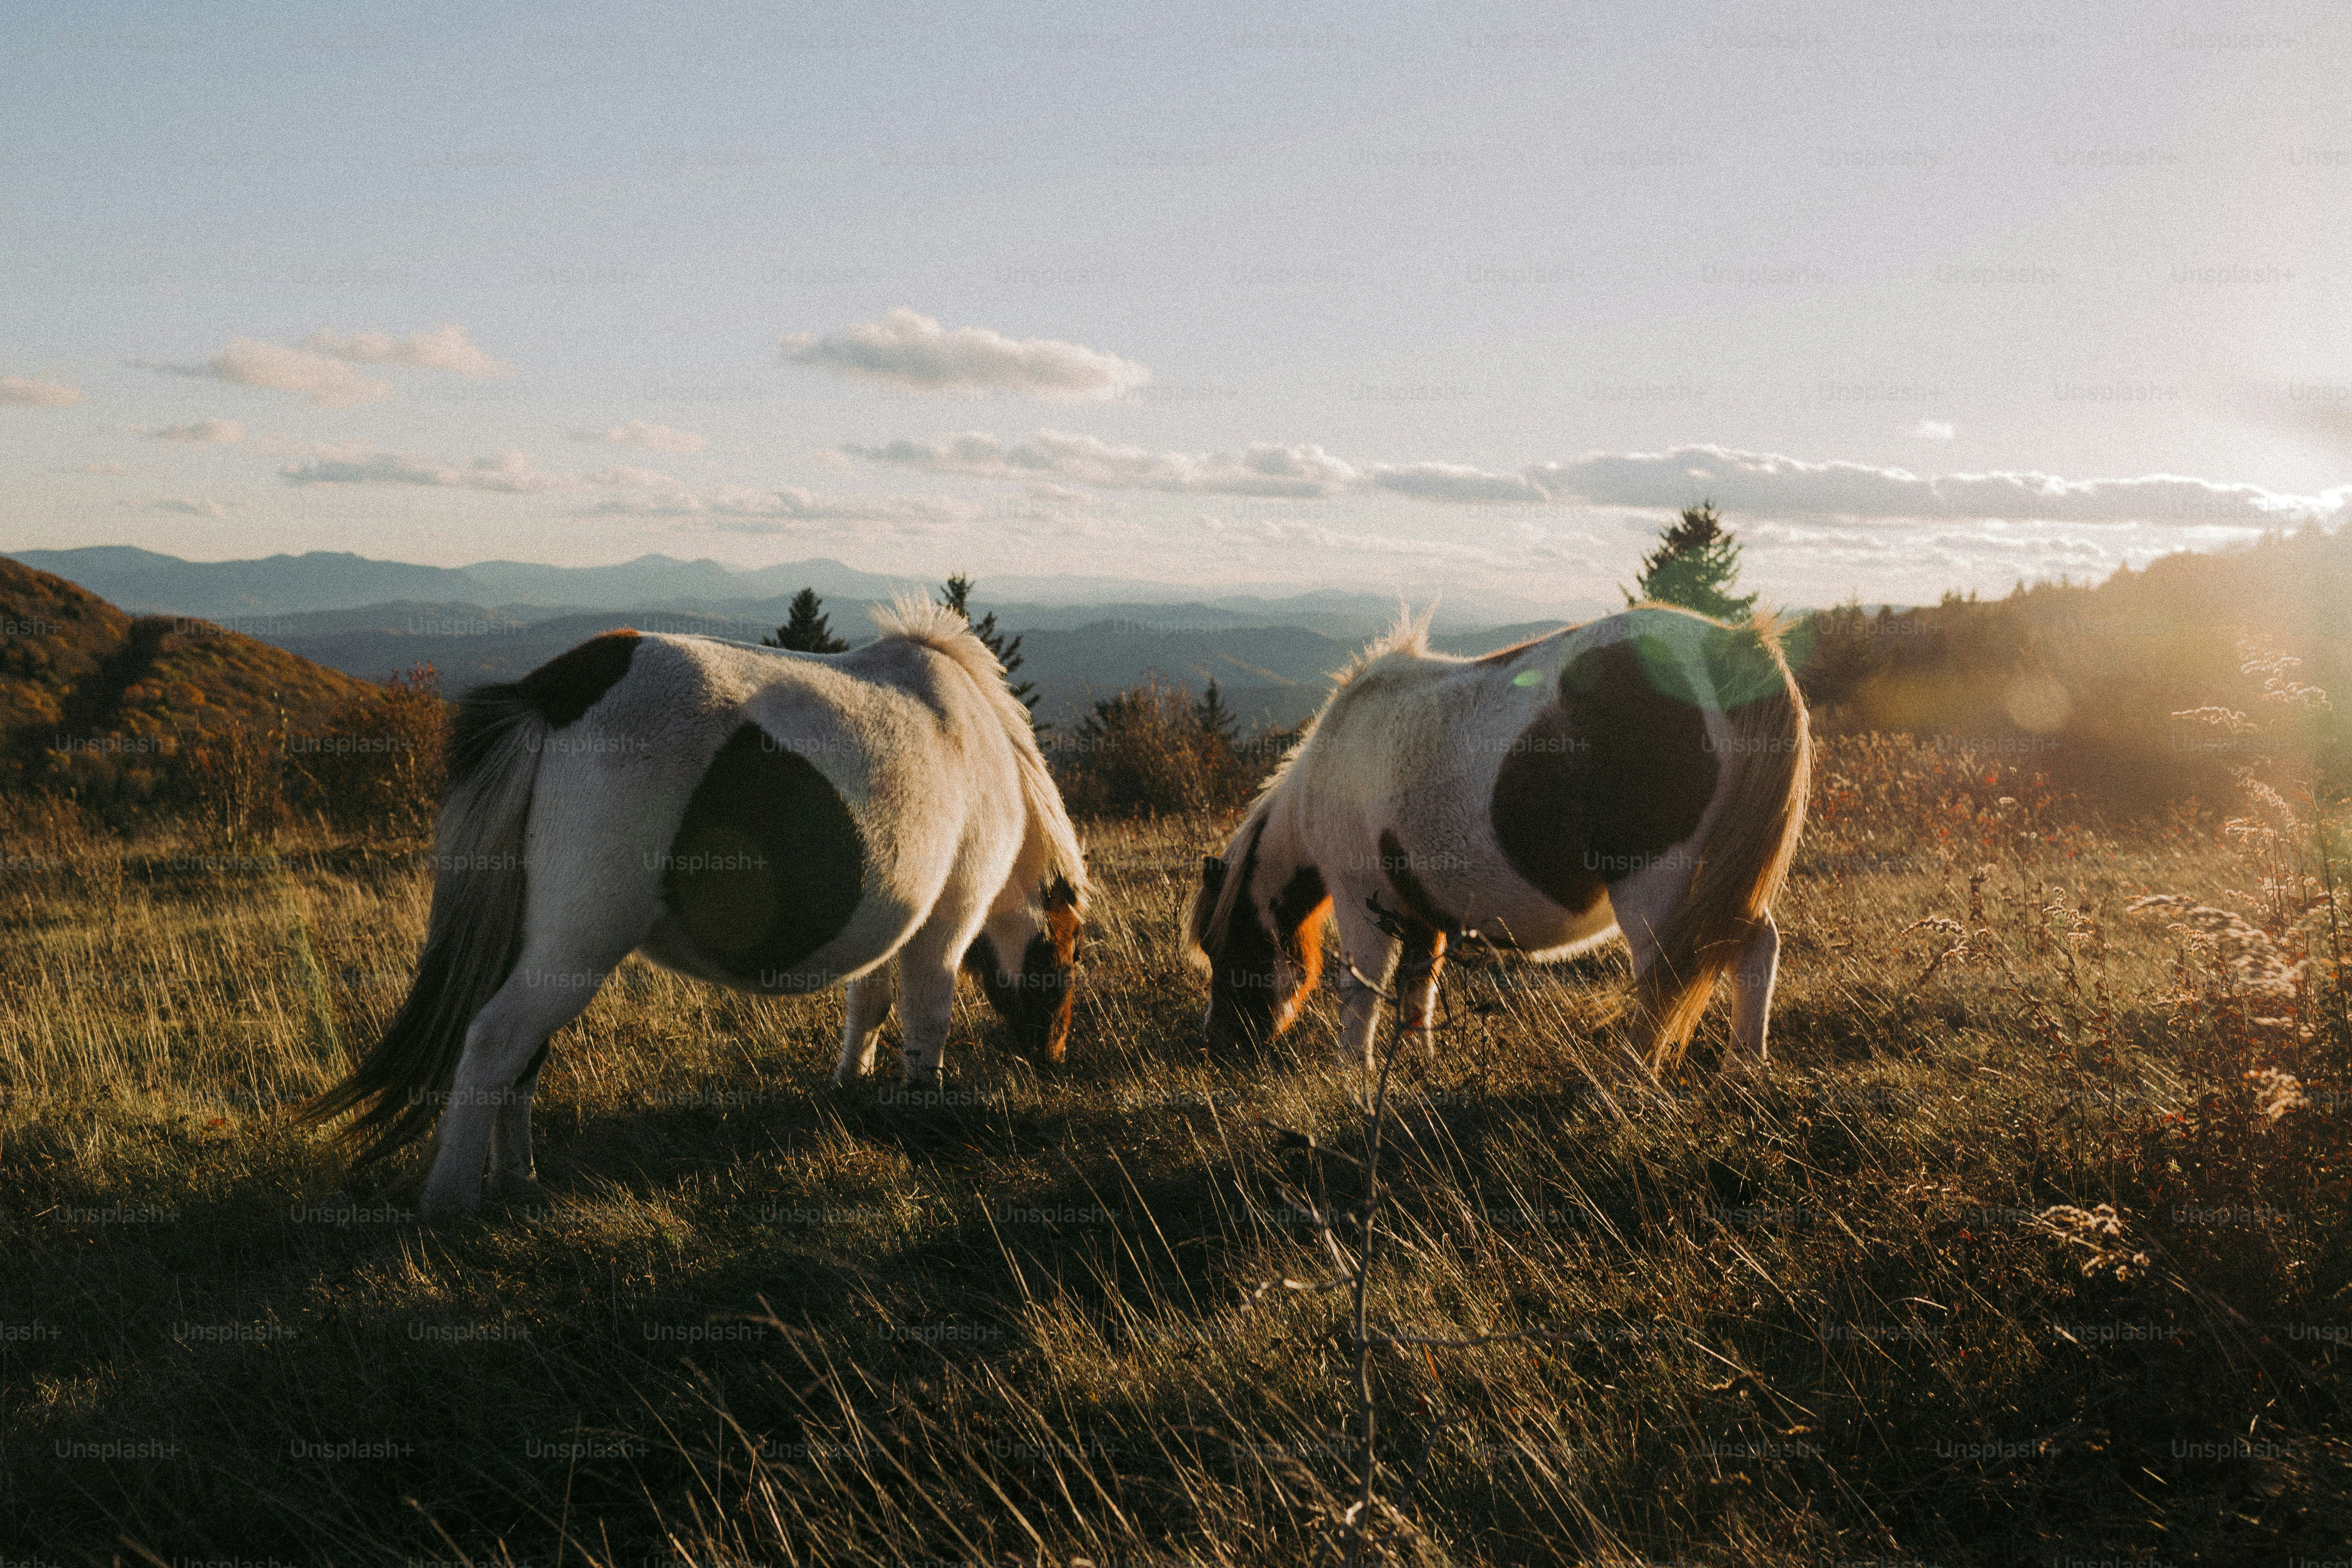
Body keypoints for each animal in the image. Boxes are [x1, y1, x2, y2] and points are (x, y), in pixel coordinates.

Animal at [301, 598, 1088, 1217]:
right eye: (1066, 948)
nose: (1054, 1057)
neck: (979, 742)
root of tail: (561, 687)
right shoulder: (946, 922)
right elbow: (926, 1016)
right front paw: (920, 1112)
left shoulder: (894, 927)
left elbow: (868, 1002)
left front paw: (852, 1084)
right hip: (579, 947)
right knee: (497, 1041)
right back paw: (455, 1199)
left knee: (522, 1056)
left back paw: (519, 1183)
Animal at [1185, 604, 1809, 1082]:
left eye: (1223, 946)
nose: (1218, 1046)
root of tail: (1730, 646)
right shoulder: (1422, 912)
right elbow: (1418, 991)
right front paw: (1418, 1065)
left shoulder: (1359, 897)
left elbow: (1362, 989)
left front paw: (1351, 1074)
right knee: (1755, 951)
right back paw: (1743, 1071)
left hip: (1657, 887)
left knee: (1667, 974)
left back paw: (1630, 1076)